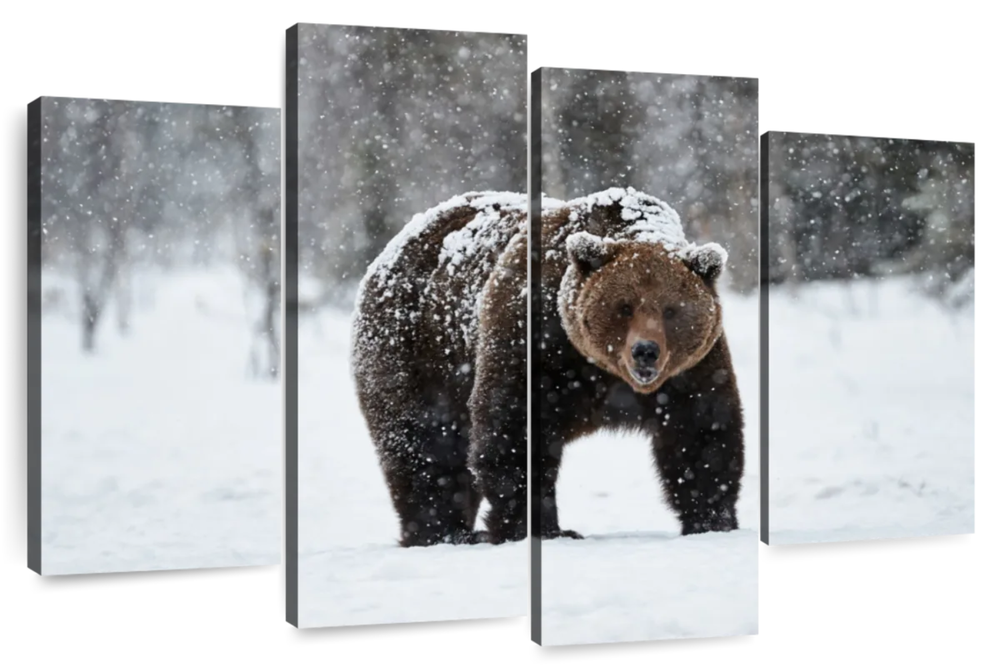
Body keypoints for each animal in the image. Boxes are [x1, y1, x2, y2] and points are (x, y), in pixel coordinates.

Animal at [533, 186, 744, 539]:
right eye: (624, 307)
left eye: (671, 310)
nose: (645, 350)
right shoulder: (544, 347)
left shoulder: (693, 370)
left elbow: (702, 438)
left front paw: (711, 521)